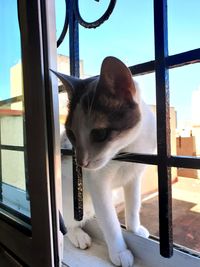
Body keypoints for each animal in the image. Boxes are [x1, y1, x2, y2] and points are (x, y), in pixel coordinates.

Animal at [53, 57, 156, 267]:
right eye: (71, 134)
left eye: (100, 134)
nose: (81, 162)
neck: (127, 150)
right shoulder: (97, 184)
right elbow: (109, 220)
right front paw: (120, 251)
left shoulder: (135, 176)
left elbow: (134, 204)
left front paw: (134, 229)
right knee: (67, 222)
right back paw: (78, 235)